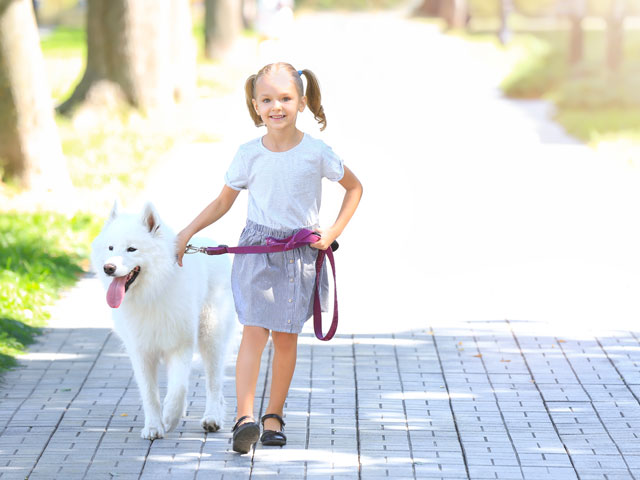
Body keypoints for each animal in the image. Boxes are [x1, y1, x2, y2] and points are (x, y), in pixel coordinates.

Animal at [91, 202, 236, 438]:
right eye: (110, 248)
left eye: (131, 249)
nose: (108, 268)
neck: (152, 292)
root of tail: (213, 245)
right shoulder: (141, 351)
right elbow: (150, 394)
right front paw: (153, 426)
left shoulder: (181, 345)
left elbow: (179, 388)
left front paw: (168, 417)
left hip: (211, 335)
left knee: (214, 382)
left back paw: (212, 418)